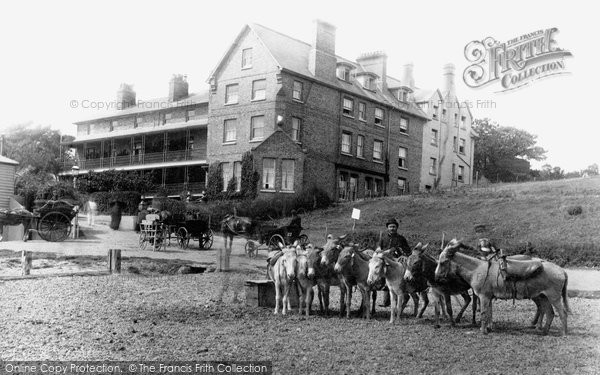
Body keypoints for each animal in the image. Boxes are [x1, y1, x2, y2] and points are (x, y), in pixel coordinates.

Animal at [434, 241, 568, 338]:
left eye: (443, 262)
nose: (436, 277)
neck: (477, 269)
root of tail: (562, 271)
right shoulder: (488, 297)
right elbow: (488, 312)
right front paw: (488, 328)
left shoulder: (484, 296)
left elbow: (483, 312)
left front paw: (483, 331)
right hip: (543, 296)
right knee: (550, 313)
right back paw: (544, 331)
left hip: (554, 297)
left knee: (562, 313)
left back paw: (563, 333)